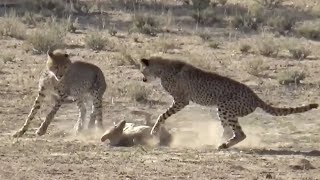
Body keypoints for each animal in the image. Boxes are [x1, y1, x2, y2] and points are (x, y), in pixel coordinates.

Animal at [139, 57, 318, 150]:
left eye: (142, 70)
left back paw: (224, 145)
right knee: (227, 130)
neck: (162, 68)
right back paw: (220, 142)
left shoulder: (181, 100)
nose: (143, 79)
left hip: (227, 107)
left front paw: (154, 130)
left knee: (240, 134)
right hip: (222, 108)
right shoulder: (180, 100)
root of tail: (255, 96)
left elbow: (162, 115)